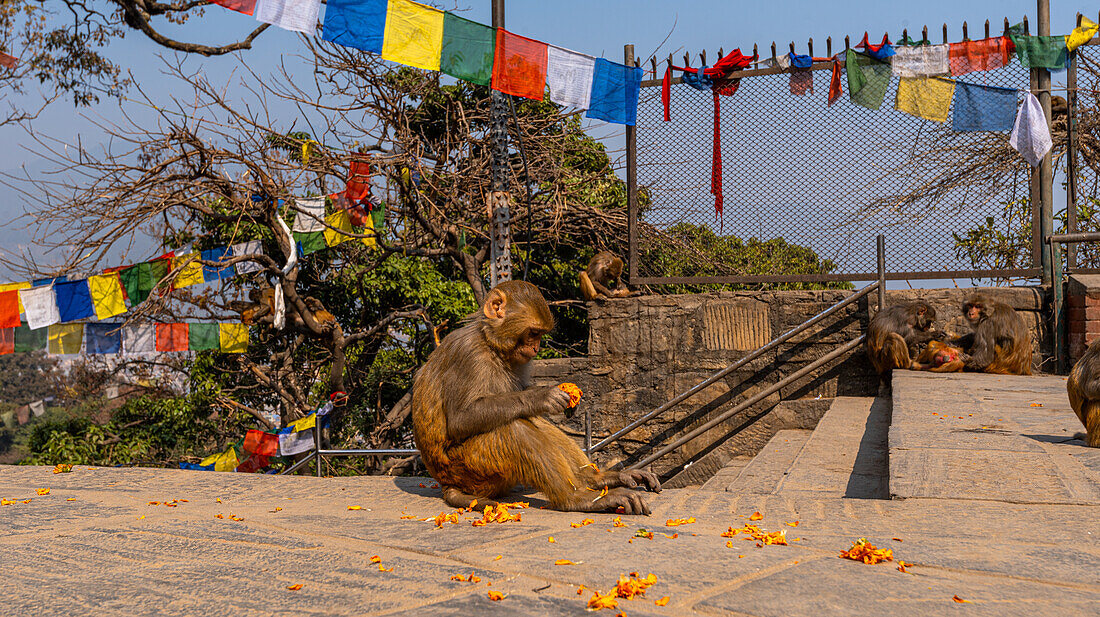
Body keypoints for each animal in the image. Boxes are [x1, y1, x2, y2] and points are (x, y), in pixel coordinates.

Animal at [409, 281, 655, 512]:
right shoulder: (469, 354)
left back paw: (596, 479)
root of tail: (447, 483)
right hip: (472, 470)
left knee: (531, 420)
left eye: (539, 335)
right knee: (514, 429)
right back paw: (576, 499)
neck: (490, 343)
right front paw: (543, 396)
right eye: (533, 333)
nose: (536, 349)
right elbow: (460, 419)